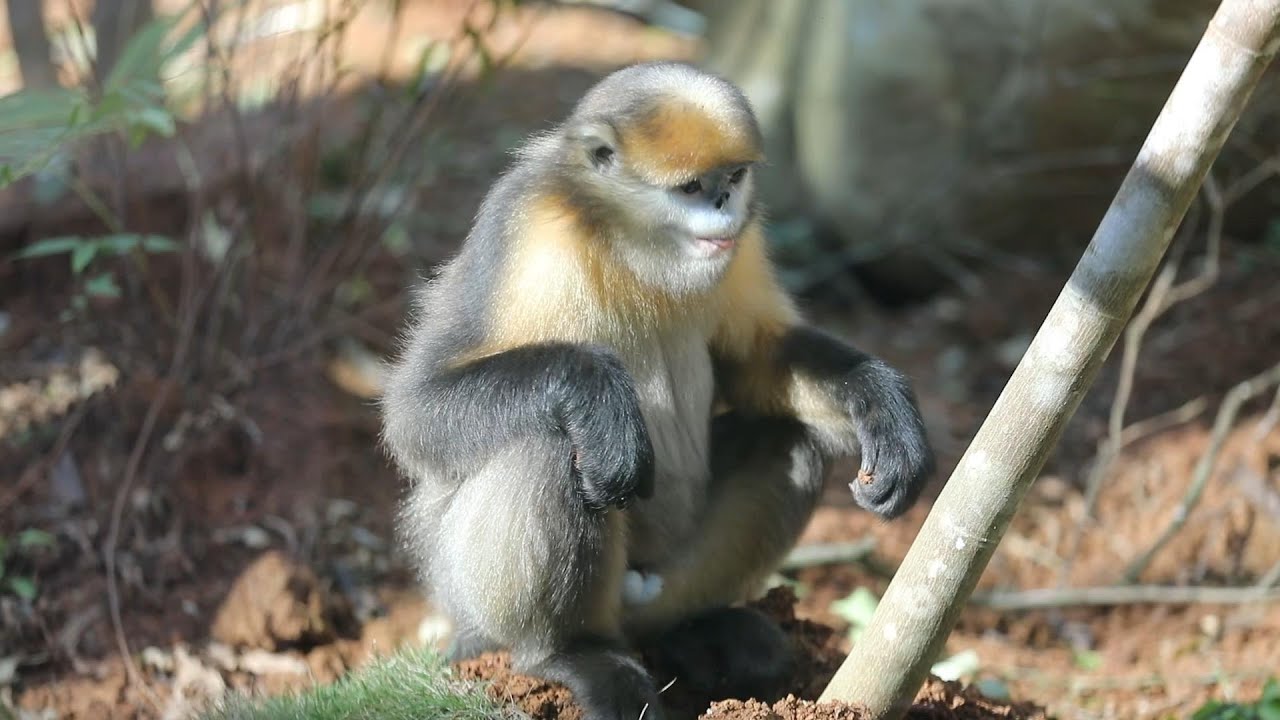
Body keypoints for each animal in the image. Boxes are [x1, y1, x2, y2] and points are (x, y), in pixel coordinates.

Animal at [380, 62, 935, 720]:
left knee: (788, 441)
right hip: (469, 591)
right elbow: (415, 413)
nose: (723, 202)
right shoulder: (526, 224)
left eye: (733, 179)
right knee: (547, 446)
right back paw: (576, 653)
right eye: (692, 188)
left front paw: (878, 399)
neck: (634, 248)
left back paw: (691, 627)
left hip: (662, 580)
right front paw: (594, 392)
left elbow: (754, 359)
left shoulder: (741, 240)